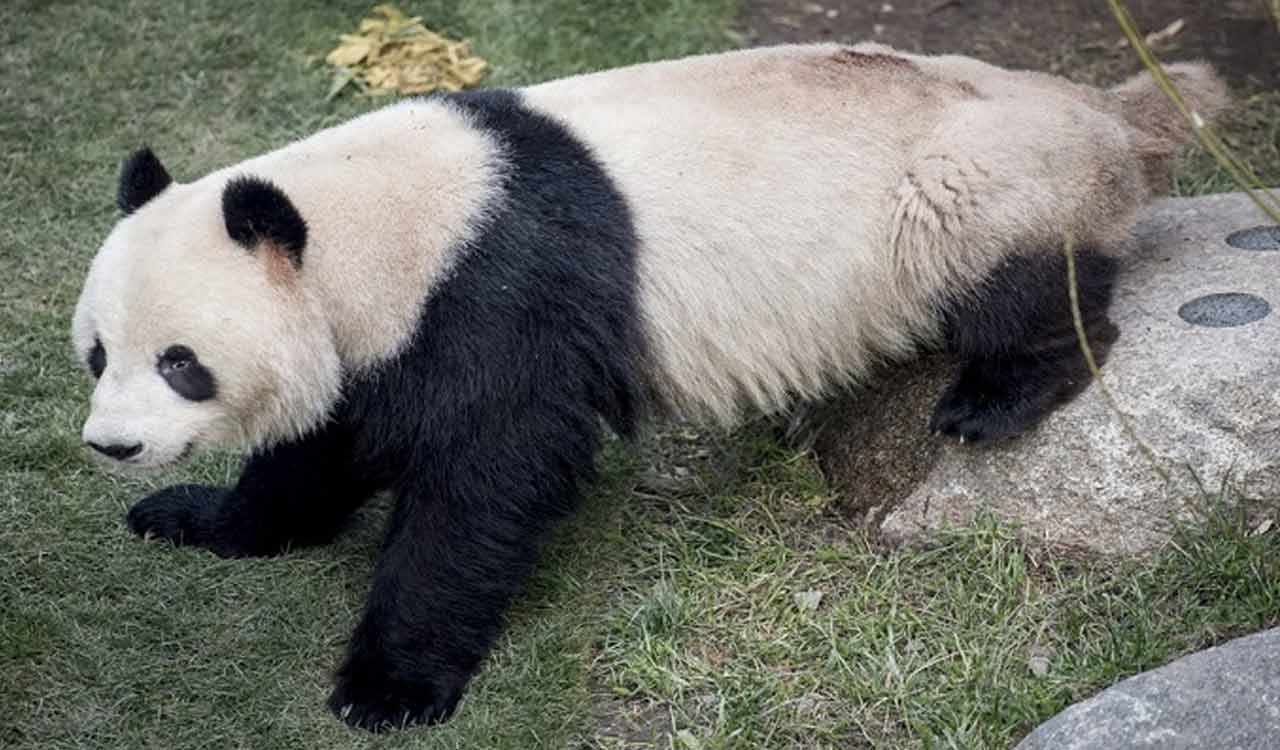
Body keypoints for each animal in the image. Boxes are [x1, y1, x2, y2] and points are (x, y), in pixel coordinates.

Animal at [72, 42, 1226, 731]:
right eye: (97, 353)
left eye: (181, 363)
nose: (112, 445)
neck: (387, 219)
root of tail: (1107, 109)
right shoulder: (390, 330)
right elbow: (326, 444)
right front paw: (198, 517)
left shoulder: (497, 292)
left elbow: (486, 481)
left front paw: (387, 686)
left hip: (977, 180)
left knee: (1019, 276)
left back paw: (997, 396)